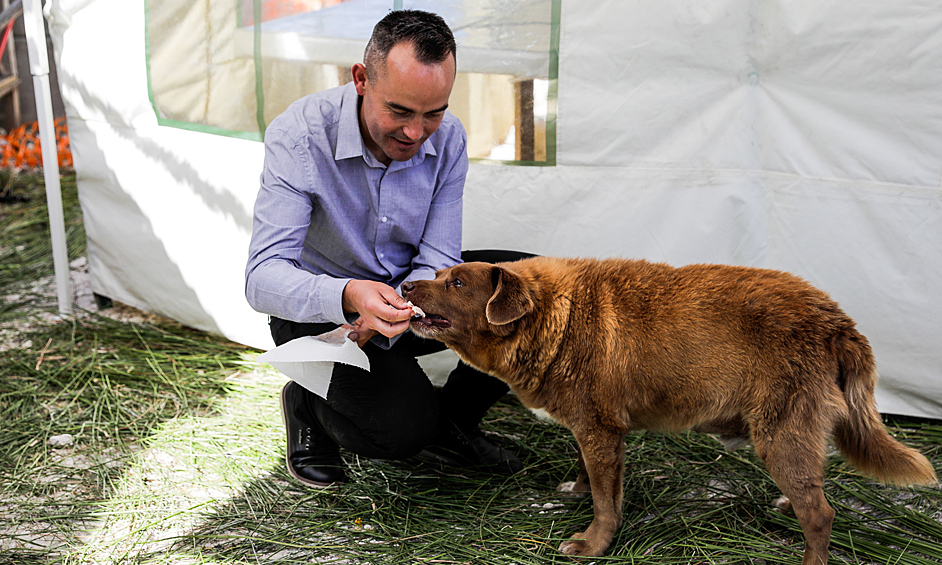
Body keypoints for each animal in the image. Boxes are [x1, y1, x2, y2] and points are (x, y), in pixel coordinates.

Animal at [402, 256, 940, 564]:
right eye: (438, 276)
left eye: (456, 283)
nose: (405, 287)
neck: (558, 316)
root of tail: (837, 320)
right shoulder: (593, 428)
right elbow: (588, 474)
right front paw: (577, 489)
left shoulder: (600, 429)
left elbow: (607, 502)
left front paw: (593, 544)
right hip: (798, 432)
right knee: (813, 487)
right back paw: (789, 503)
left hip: (779, 432)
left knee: (822, 515)